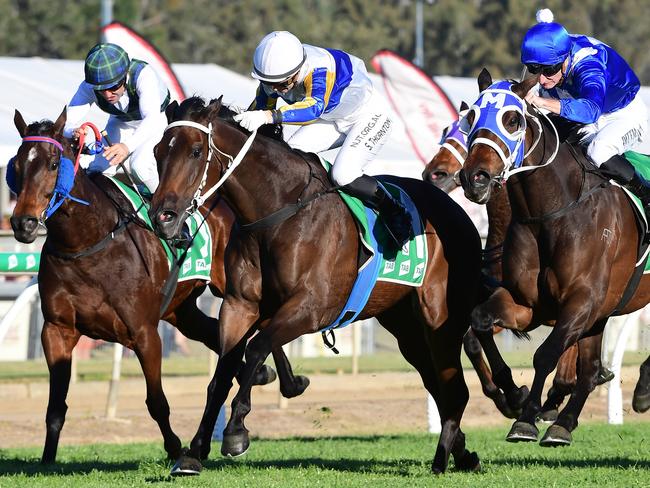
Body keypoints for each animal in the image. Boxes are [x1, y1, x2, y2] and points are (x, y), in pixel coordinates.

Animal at [7, 109, 306, 466]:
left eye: (54, 164)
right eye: (16, 165)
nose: (22, 223)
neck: (87, 242)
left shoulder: (143, 332)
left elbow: (157, 402)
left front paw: (177, 450)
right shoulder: (57, 331)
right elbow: (55, 407)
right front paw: (48, 460)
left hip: (230, 288)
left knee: (263, 322)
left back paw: (285, 380)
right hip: (180, 309)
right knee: (215, 331)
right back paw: (263, 374)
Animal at [147, 97, 480, 474]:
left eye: (196, 151)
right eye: (158, 151)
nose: (162, 217)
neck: (275, 212)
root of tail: (457, 210)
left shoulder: (311, 308)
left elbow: (257, 348)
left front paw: (235, 432)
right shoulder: (238, 306)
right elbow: (222, 372)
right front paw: (193, 451)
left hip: (441, 319)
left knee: (456, 388)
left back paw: (442, 456)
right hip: (405, 324)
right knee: (438, 383)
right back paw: (462, 452)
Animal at [458, 68, 644, 446]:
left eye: (512, 119)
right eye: (471, 118)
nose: (474, 178)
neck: (551, 213)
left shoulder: (580, 302)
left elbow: (545, 354)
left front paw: (526, 418)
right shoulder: (529, 304)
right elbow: (479, 322)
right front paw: (514, 395)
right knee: (589, 368)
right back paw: (566, 421)